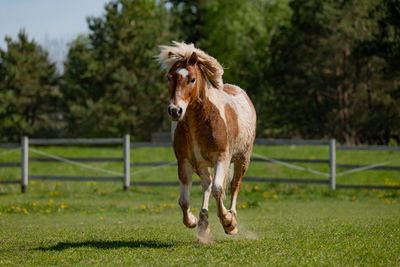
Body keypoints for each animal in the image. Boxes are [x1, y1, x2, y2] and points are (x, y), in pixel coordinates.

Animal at [157, 41, 256, 243]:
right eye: (170, 77)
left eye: (192, 79)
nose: (175, 110)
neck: (199, 122)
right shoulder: (185, 162)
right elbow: (184, 200)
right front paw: (193, 221)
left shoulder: (222, 159)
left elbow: (219, 190)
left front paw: (228, 222)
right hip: (201, 165)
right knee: (207, 185)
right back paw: (203, 222)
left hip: (243, 159)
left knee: (234, 185)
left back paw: (232, 217)